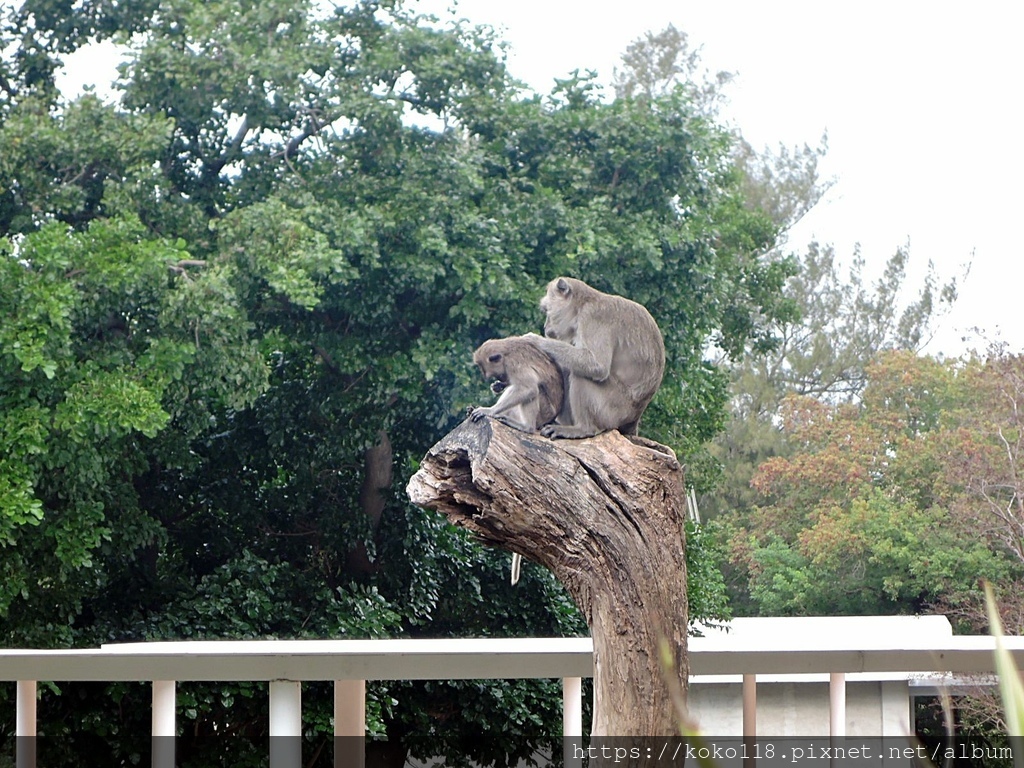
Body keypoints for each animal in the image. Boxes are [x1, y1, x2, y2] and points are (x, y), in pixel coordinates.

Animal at [524, 276, 667, 438]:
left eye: (546, 311)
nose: (546, 327)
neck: (582, 305)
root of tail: (634, 418)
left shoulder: (593, 317)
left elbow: (597, 366)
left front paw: (536, 340)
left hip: (613, 410)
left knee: (580, 374)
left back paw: (583, 429)